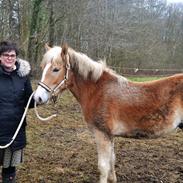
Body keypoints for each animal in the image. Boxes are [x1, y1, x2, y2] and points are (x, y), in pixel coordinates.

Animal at [33, 44, 183, 183]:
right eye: (43, 67)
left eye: (56, 69)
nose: (37, 98)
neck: (98, 91)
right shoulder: (109, 136)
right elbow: (112, 160)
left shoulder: (102, 133)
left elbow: (103, 166)